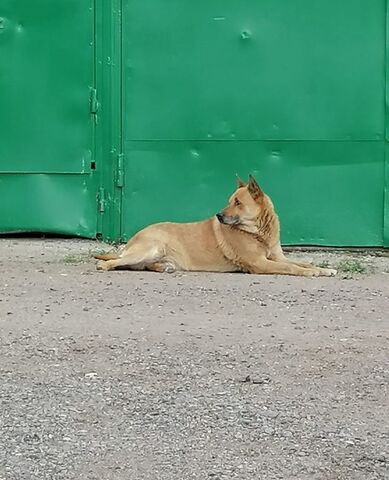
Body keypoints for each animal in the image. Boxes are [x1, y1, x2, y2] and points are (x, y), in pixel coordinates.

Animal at [94, 174, 336, 276]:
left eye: (237, 202)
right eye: (229, 201)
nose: (219, 215)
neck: (258, 232)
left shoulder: (277, 257)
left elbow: (300, 263)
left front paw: (323, 269)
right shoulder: (260, 263)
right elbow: (292, 268)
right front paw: (312, 273)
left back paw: (163, 267)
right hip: (152, 247)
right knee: (115, 261)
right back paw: (104, 266)